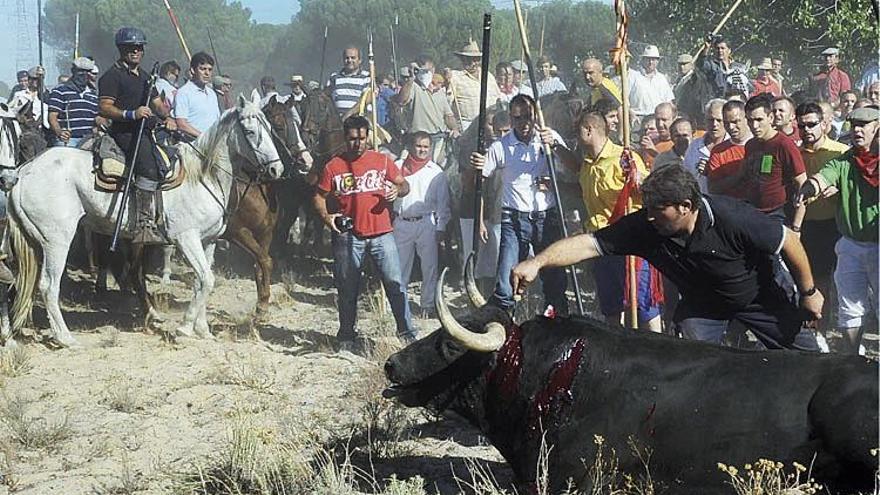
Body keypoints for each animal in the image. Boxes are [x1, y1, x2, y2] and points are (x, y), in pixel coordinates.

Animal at [5, 94, 284, 348]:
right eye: (250, 131)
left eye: (271, 129)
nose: (276, 169)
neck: (202, 176)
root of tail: (24, 172)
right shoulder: (187, 238)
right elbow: (206, 279)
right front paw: (185, 328)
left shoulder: (209, 240)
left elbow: (202, 281)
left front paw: (203, 330)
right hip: (57, 240)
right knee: (49, 285)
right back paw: (65, 338)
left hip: (34, 242)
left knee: (22, 283)